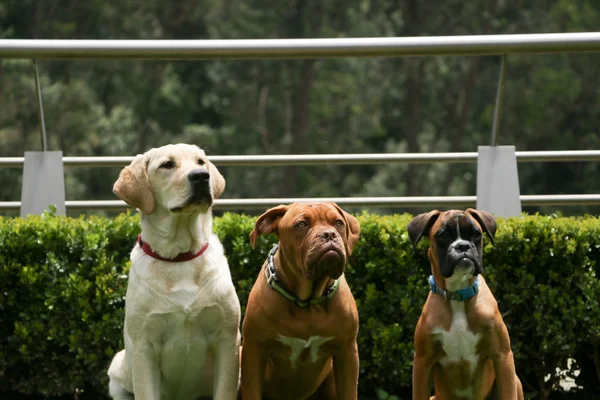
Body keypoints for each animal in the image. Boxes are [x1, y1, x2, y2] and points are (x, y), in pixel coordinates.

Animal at [106, 145, 240, 400]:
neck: (180, 257)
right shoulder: (144, 346)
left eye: (201, 162)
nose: (201, 176)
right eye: (167, 165)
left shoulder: (227, 340)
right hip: (117, 371)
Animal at [240, 203, 360, 400]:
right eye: (302, 224)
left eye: (338, 223)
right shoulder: (254, 352)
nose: (329, 234)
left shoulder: (347, 352)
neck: (307, 302)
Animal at [410, 209, 524, 400]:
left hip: (516, 381)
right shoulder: (422, 362)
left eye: (476, 234)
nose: (463, 246)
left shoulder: (502, 356)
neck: (458, 296)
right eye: (443, 235)